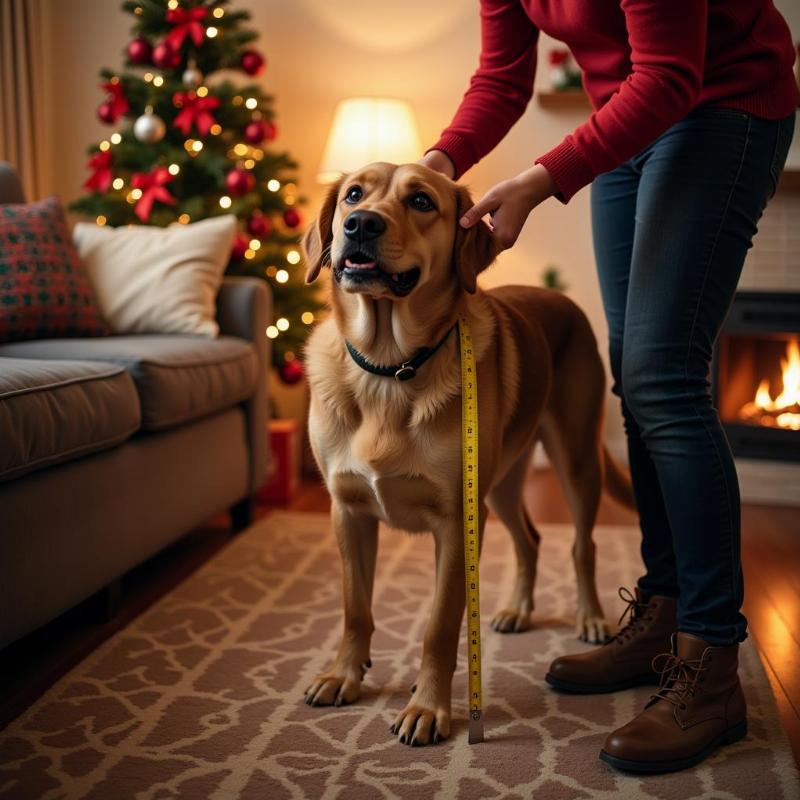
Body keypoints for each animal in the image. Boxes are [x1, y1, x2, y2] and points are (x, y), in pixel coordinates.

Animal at [298, 162, 632, 752]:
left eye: (421, 202)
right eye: (353, 195)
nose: (361, 225)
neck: (388, 369)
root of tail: (561, 300)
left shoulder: (455, 525)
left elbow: (438, 628)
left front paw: (427, 708)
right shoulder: (349, 512)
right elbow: (355, 609)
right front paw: (344, 675)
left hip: (574, 460)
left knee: (581, 546)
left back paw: (591, 618)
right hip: (500, 483)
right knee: (530, 540)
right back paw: (517, 609)